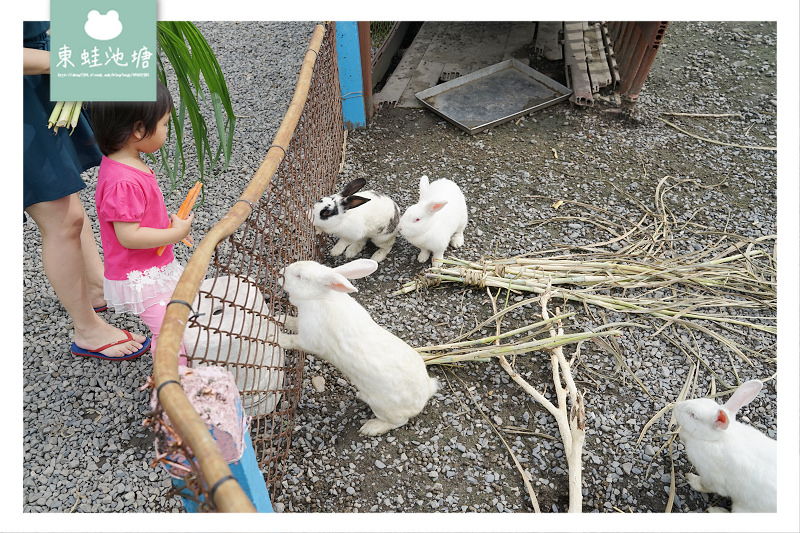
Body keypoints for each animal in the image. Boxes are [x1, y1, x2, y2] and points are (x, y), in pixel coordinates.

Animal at [276, 258, 438, 436]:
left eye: (300, 276)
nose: (281, 273)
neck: (319, 297)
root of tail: (426, 393)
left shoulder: (308, 340)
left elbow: (292, 341)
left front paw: (275, 337)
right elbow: (291, 322)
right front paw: (277, 318)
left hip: (383, 408)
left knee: (399, 422)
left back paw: (371, 428)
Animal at [672, 378, 780, 512]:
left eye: (693, 415)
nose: (675, 406)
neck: (718, 439)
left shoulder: (710, 477)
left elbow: (704, 486)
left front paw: (691, 479)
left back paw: (715, 510)